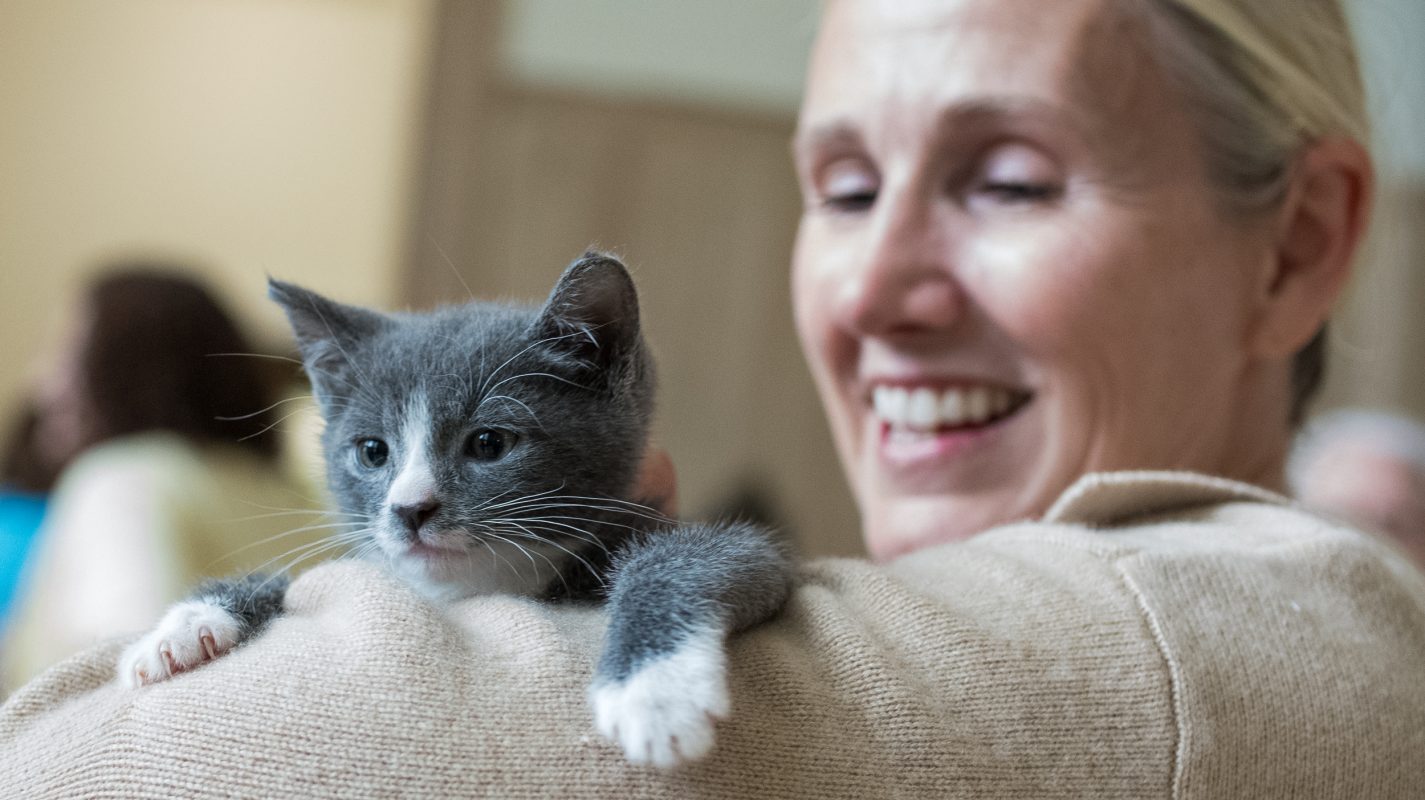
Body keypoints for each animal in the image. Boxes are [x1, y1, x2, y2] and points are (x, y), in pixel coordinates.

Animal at [118, 252, 798, 764]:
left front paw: (653, 690)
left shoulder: (751, 554)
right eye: (372, 451)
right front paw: (184, 626)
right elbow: (303, 578)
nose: (409, 509)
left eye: (489, 444)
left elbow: (694, 558)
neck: (473, 586)